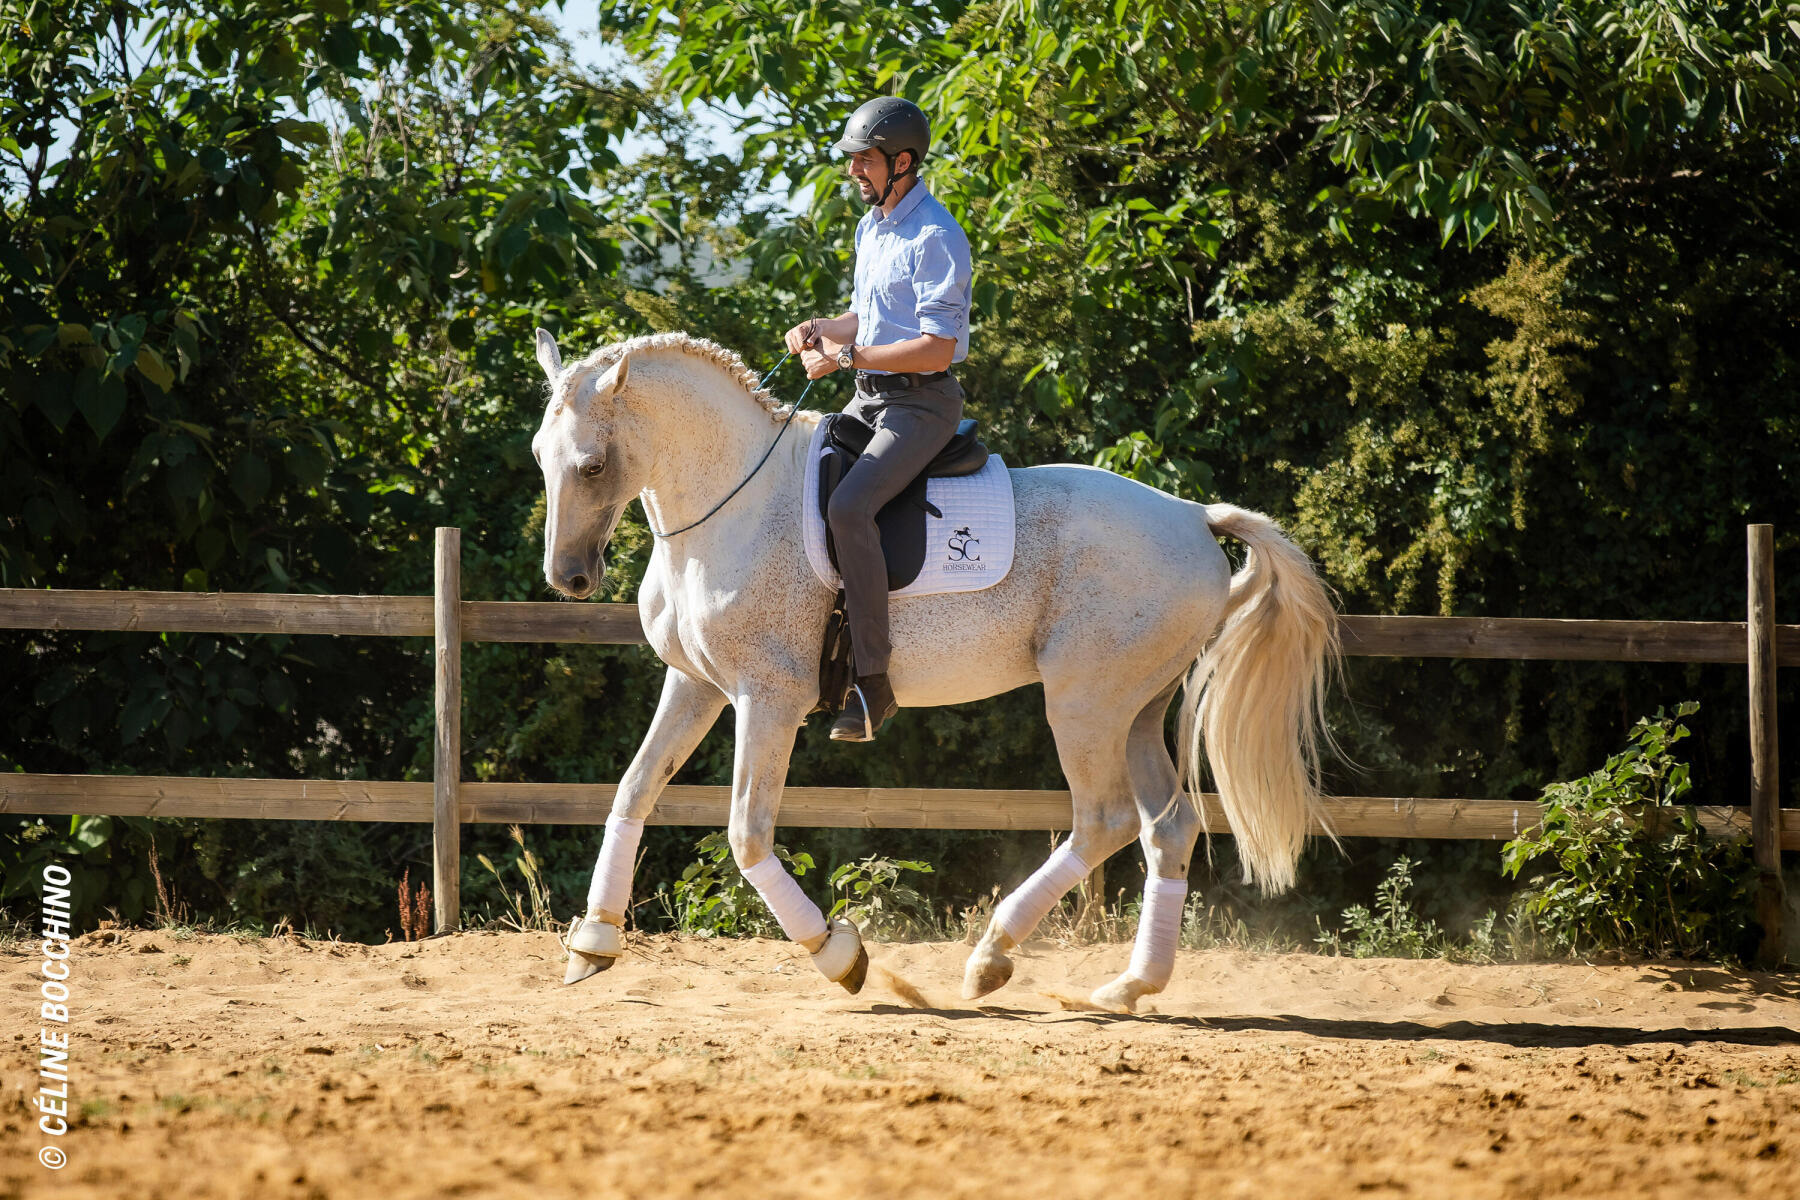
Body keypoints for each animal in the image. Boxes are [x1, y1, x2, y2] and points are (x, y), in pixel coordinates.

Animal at [532, 329, 1339, 1014]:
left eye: (593, 465)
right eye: (542, 456)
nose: (568, 578)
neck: (733, 502)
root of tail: (1194, 516)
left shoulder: (768, 698)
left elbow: (748, 835)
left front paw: (840, 956)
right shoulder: (696, 685)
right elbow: (634, 790)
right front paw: (593, 942)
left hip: (1084, 703)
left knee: (1103, 819)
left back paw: (992, 957)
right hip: (1137, 708)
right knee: (1166, 827)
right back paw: (1127, 987)